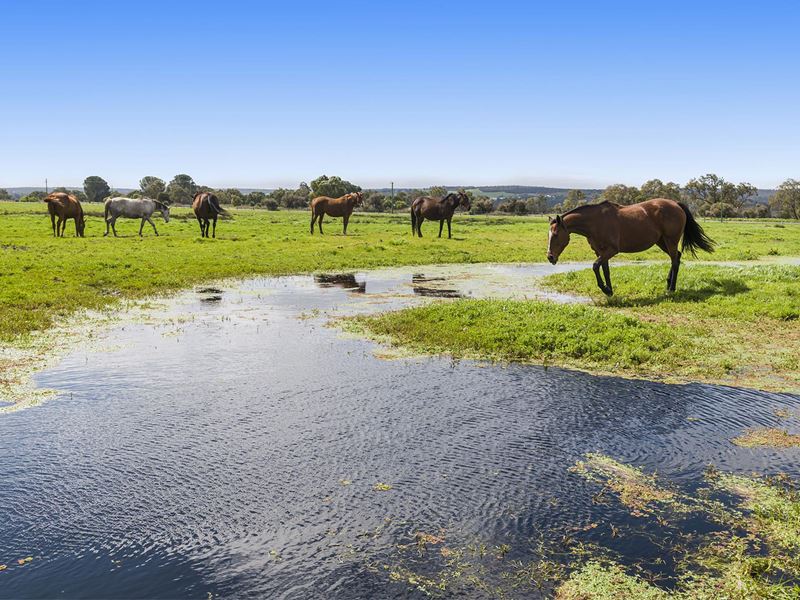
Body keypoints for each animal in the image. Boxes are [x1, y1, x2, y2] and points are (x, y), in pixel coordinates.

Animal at [548, 199, 716, 296]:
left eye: (555, 234)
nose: (550, 257)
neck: (595, 221)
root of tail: (676, 205)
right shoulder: (601, 252)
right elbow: (605, 270)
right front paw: (609, 290)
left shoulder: (611, 250)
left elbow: (595, 266)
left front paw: (605, 289)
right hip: (662, 241)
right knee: (677, 257)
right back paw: (668, 283)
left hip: (670, 240)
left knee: (675, 260)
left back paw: (671, 289)